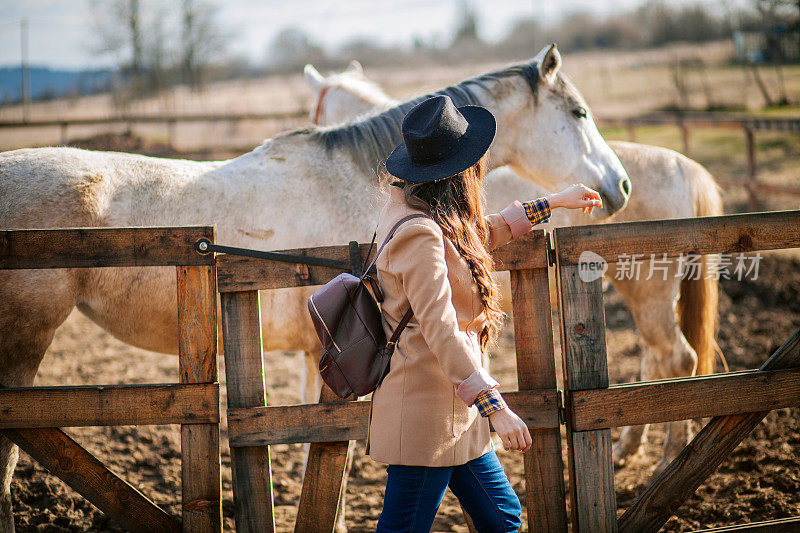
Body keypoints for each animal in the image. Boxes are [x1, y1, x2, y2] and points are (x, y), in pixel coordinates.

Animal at [0, 44, 632, 528]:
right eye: (578, 113)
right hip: (23, 349)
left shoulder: (317, 353)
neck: (360, 181)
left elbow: (317, 450)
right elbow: (332, 457)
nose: (618, 186)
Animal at [302, 57, 724, 474]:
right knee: (656, 362)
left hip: (649, 290)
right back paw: (628, 447)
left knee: (676, 358)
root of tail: (684, 167)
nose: (618, 187)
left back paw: (669, 458)